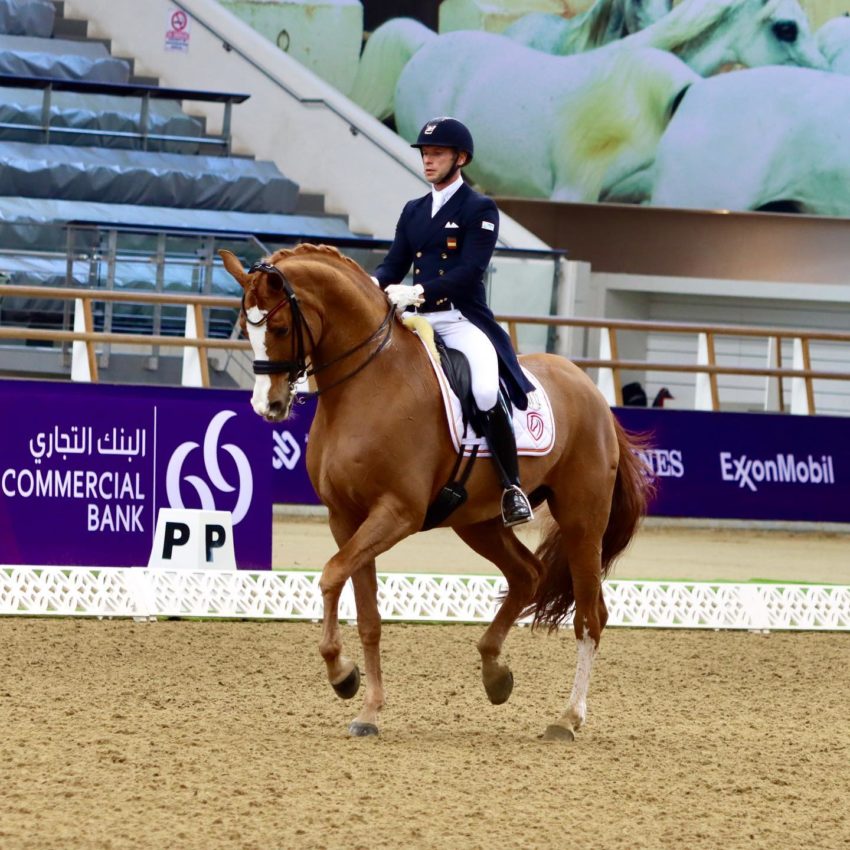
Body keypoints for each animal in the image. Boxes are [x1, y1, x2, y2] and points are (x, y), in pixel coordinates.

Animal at [217, 243, 648, 736]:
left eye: (281, 327)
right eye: (243, 327)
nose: (267, 406)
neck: (368, 385)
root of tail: (592, 391)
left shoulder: (397, 514)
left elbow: (329, 575)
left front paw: (342, 675)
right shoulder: (346, 518)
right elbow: (365, 612)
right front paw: (366, 707)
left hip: (582, 520)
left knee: (590, 617)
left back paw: (568, 718)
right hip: (478, 523)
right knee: (528, 575)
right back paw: (495, 674)